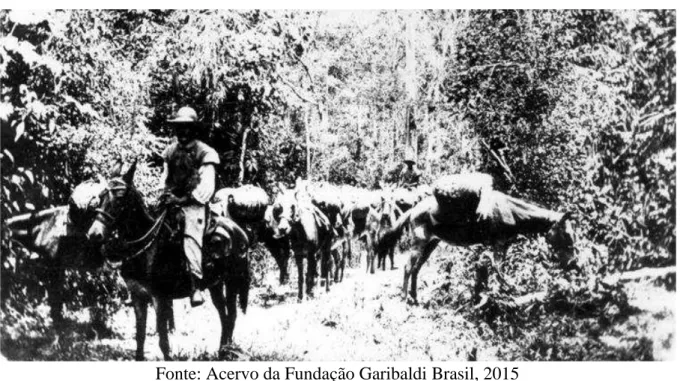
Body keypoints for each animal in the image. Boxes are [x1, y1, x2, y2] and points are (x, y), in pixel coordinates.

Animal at [85, 161, 250, 360]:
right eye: (101, 196)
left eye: (119, 199)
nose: (94, 234)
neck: (147, 247)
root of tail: (238, 230)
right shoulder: (138, 297)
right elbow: (140, 336)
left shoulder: (160, 299)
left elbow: (163, 339)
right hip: (215, 285)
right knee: (224, 316)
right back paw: (222, 351)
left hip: (232, 281)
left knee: (231, 315)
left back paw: (226, 352)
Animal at [374, 174, 576, 304]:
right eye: (566, 234)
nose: (574, 263)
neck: (511, 212)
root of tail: (414, 210)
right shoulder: (498, 244)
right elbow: (498, 270)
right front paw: (508, 292)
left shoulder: (503, 245)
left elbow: (497, 270)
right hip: (418, 243)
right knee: (409, 267)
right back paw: (404, 297)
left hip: (431, 244)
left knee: (416, 268)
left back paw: (415, 298)